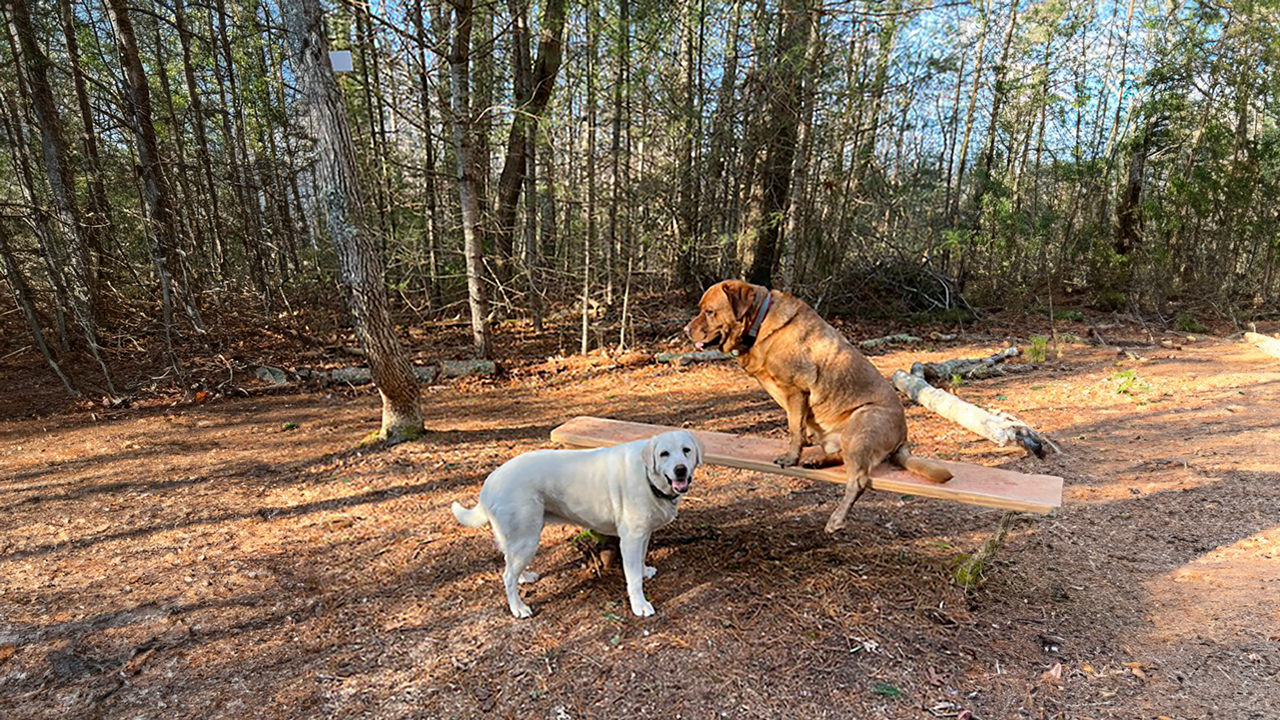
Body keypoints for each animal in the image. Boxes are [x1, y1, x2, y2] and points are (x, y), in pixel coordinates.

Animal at [450, 427, 706, 614]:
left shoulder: (642, 535)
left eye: (686, 450)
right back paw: (518, 608)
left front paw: (644, 571)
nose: (680, 470)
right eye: (664, 454)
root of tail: (489, 482)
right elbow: (632, 579)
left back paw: (524, 577)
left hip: (517, 537)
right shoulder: (631, 539)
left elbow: (641, 560)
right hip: (528, 538)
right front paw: (639, 605)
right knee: (506, 577)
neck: (648, 477)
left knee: (509, 564)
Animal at [691, 278, 952, 530]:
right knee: (841, 458)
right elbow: (797, 426)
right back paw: (817, 461)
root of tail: (903, 437)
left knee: (858, 480)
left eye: (710, 312)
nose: (685, 330)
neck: (760, 323)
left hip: (860, 426)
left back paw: (837, 519)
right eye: (701, 309)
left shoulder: (796, 391)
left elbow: (794, 429)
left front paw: (791, 457)